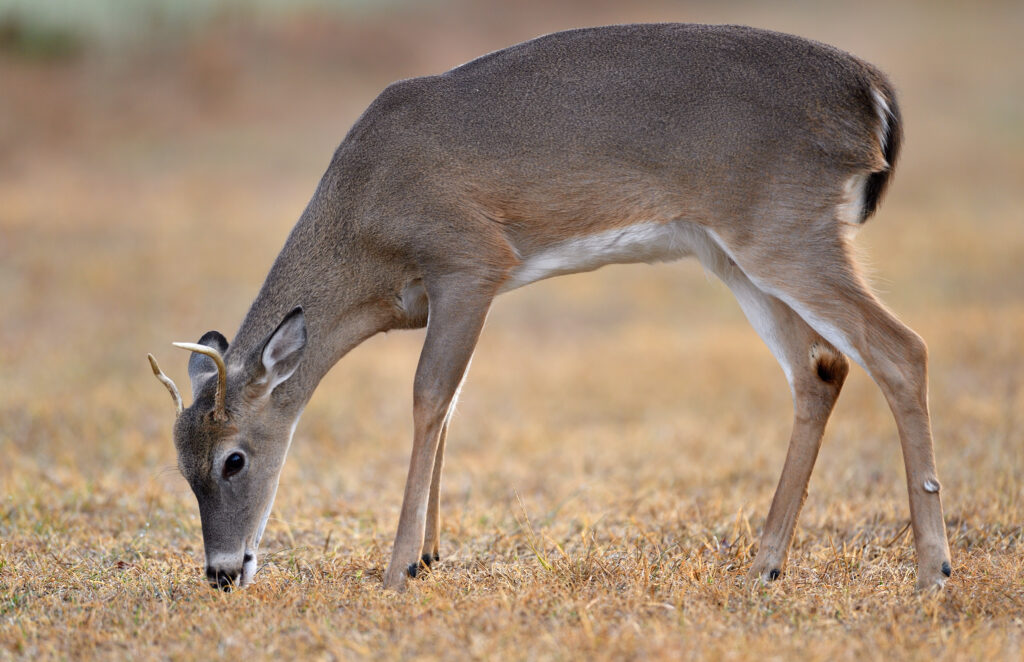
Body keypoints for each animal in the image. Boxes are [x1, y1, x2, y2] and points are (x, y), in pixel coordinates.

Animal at [149, 24, 950, 598]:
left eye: (233, 459)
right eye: (181, 467)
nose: (221, 573)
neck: (368, 234)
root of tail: (870, 88)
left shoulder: (470, 261)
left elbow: (428, 398)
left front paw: (399, 568)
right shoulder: (457, 291)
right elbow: (451, 406)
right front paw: (431, 554)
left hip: (783, 229)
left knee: (901, 347)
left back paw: (932, 571)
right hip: (732, 251)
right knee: (821, 365)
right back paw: (765, 565)